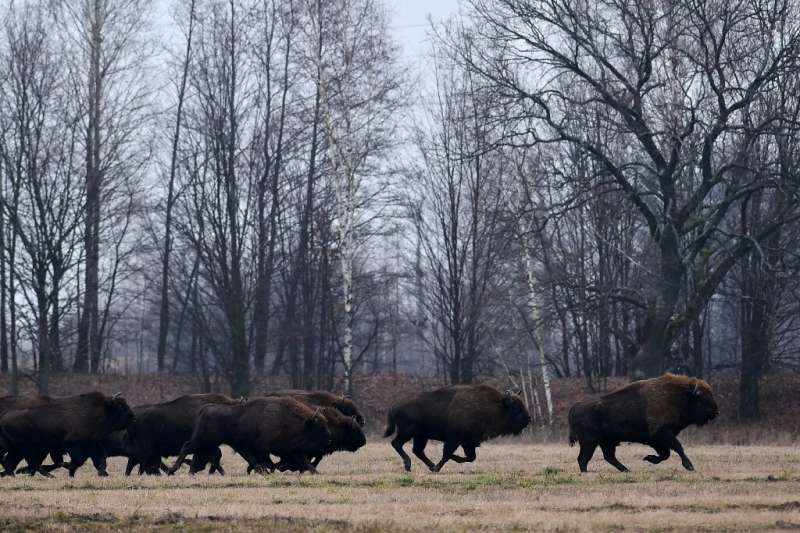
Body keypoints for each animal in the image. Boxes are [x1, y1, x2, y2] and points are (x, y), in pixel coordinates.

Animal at [0, 390, 134, 474]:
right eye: (121, 407)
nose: (133, 417)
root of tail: (4, 417)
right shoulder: (71, 444)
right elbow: (75, 460)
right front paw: (68, 467)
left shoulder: (92, 444)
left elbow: (98, 460)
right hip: (22, 448)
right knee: (17, 462)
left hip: (17, 449)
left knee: (11, 462)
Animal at [169, 394, 332, 474]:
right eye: (319, 428)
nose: (329, 440)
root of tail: (204, 409)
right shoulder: (263, 449)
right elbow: (265, 463)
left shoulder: (293, 450)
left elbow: (305, 463)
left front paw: (316, 473)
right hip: (203, 440)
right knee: (186, 447)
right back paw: (173, 470)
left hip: (208, 443)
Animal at [382, 384, 528, 472]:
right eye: (516, 408)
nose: (528, 419)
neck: (496, 406)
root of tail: (393, 407)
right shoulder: (454, 440)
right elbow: (447, 454)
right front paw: (440, 466)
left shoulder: (468, 443)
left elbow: (471, 457)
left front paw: (442, 464)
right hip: (407, 432)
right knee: (397, 443)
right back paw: (409, 465)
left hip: (421, 436)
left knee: (417, 450)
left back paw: (429, 466)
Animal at [564, 372, 720, 472]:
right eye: (703, 398)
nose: (716, 411)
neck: (681, 396)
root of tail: (575, 407)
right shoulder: (662, 435)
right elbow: (677, 448)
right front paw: (689, 466)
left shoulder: (658, 441)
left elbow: (666, 454)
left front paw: (648, 458)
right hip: (590, 442)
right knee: (584, 458)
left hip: (606, 442)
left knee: (608, 457)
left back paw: (626, 470)